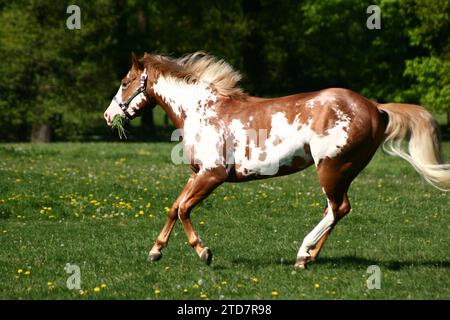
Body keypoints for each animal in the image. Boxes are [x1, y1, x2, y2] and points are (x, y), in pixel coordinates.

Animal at [103, 51, 448, 268]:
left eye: (124, 82)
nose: (108, 116)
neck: (203, 111)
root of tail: (376, 107)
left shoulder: (213, 175)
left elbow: (185, 209)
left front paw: (204, 253)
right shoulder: (197, 174)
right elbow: (174, 207)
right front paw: (155, 252)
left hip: (332, 168)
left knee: (338, 208)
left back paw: (302, 252)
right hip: (343, 172)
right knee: (335, 210)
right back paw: (308, 258)